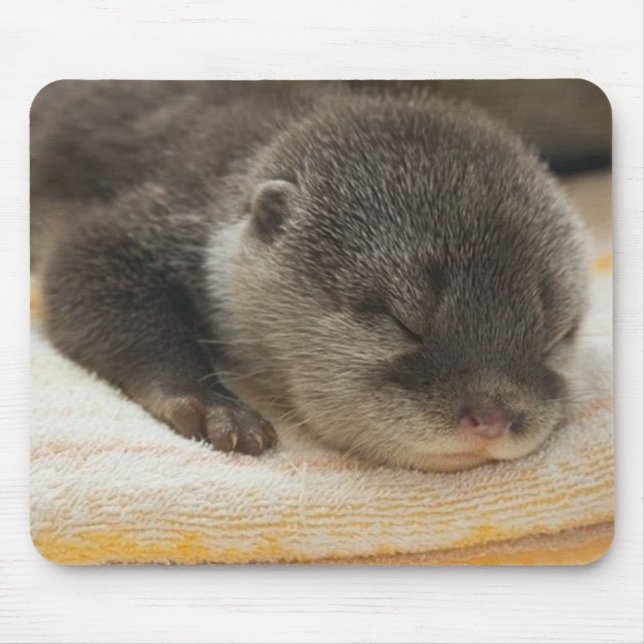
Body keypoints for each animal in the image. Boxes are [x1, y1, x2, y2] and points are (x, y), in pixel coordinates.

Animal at [31, 81, 590, 472]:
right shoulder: (166, 208)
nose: (492, 418)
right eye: (400, 321)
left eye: (553, 338)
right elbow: (81, 264)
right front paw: (214, 406)